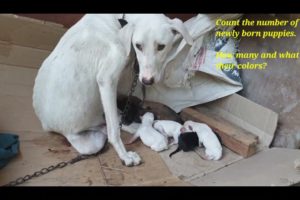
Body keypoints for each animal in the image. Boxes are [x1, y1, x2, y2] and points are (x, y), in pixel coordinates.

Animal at [32, 14, 192, 166]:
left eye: (161, 46)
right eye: (138, 45)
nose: (147, 81)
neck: (119, 19)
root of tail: (48, 127)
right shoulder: (107, 79)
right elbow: (114, 130)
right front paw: (125, 156)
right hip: (87, 141)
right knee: (109, 129)